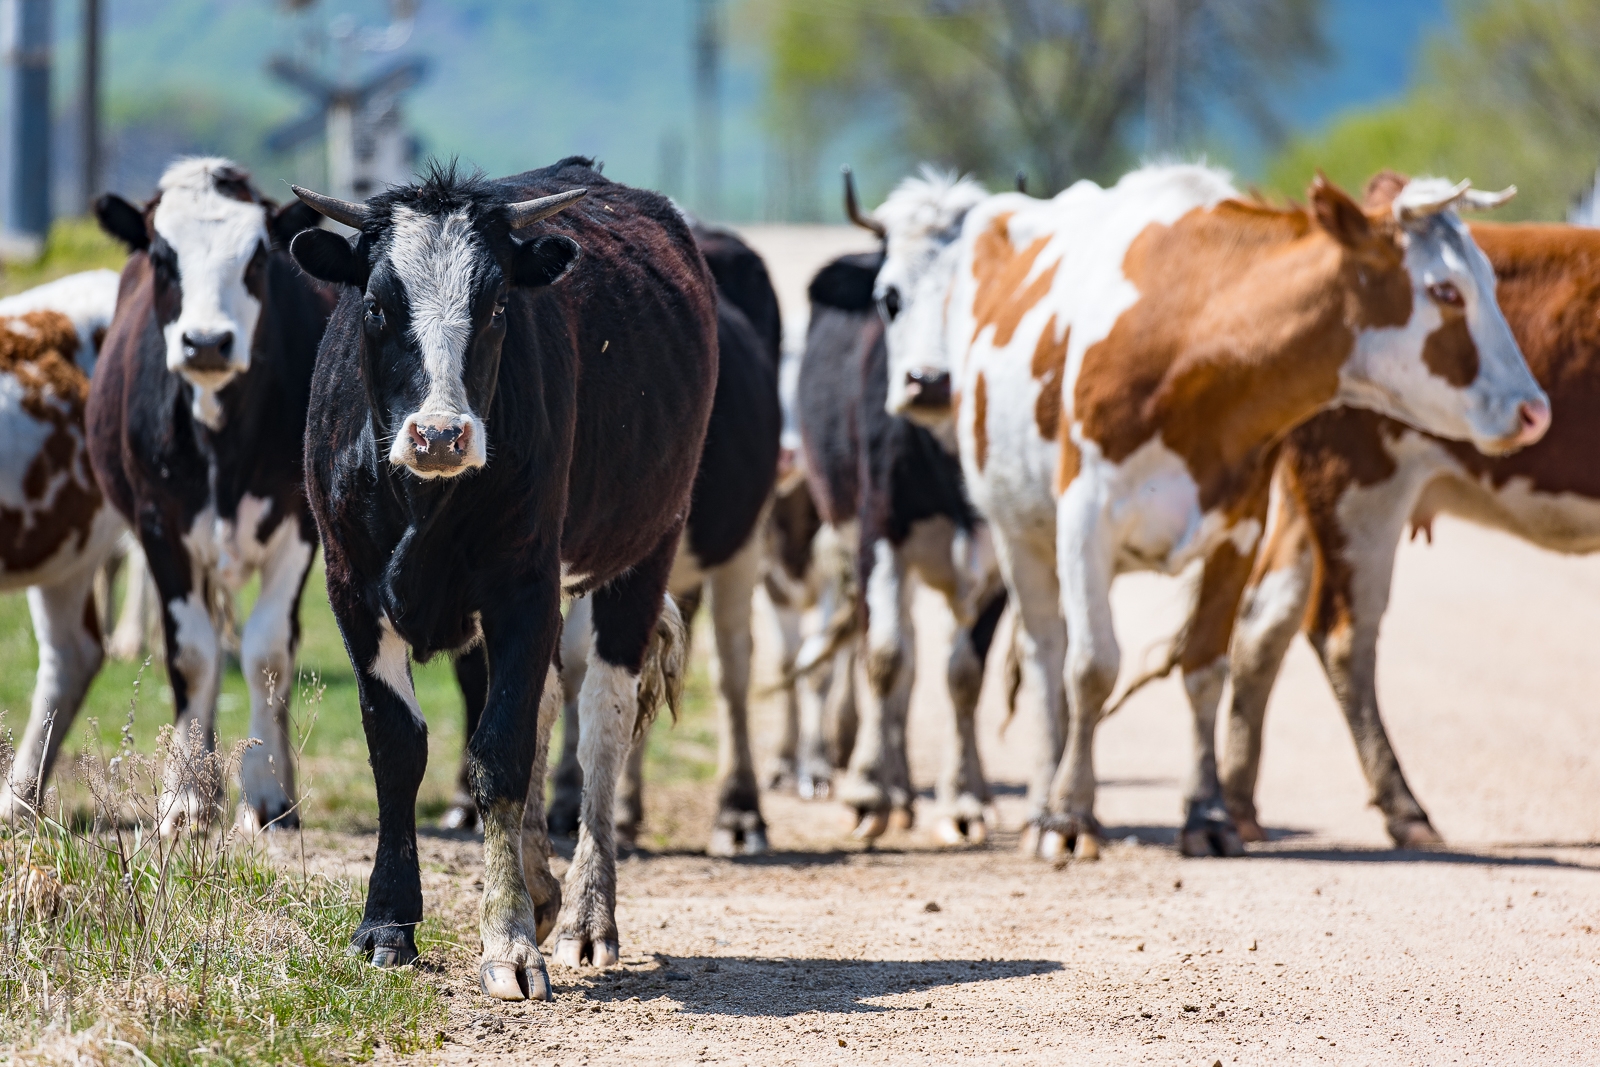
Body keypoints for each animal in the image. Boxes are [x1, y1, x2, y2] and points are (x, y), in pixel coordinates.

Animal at [85, 158, 331, 835]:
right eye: (163, 257)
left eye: (257, 257)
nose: (207, 343)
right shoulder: (158, 525)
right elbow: (192, 656)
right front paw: (188, 792)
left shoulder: (300, 524)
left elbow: (268, 653)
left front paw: (266, 791)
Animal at [287, 157, 717, 1000]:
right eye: (378, 305)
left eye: (495, 308)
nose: (439, 434)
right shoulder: (350, 585)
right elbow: (399, 747)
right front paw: (387, 922)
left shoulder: (525, 585)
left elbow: (500, 752)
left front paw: (510, 938)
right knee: (548, 704)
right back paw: (541, 881)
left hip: (643, 549)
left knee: (600, 721)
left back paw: (584, 912)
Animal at [796, 181, 1008, 844]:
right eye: (889, 298)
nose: (931, 381)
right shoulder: (877, 538)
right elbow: (886, 658)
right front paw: (869, 792)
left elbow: (964, 674)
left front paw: (963, 799)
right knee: (894, 655)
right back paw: (893, 787)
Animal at [869, 162, 1550, 862]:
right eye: (1445, 290)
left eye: (1490, 279)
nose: (1534, 411)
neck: (1195, 349)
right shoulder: (1083, 518)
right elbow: (1091, 668)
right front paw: (1069, 816)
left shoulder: (1240, 530)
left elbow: (1205, 668)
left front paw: (1207, 813)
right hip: (1017, 534)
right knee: (1046, 654)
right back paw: (1041, 799)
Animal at [1222, 174, 1600, 847]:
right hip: (1358, 487)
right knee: (1344, 634)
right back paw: (1405, 809)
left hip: (1308, 502)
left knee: (1263, 624)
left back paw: (1239, 806)